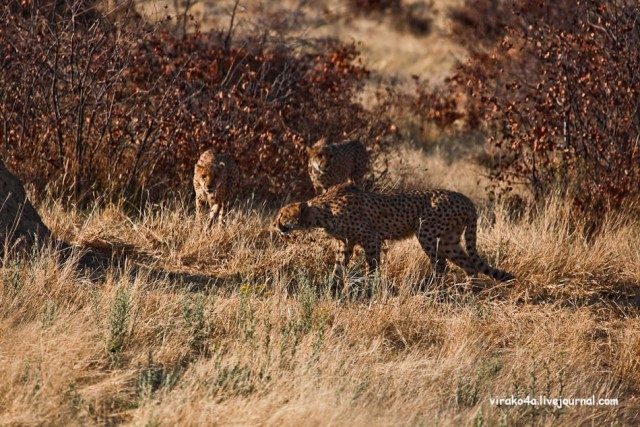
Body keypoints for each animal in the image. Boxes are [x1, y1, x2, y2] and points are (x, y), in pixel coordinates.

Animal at [272, 183, 512, 290]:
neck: (322, 212)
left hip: (427, 233)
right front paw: (332, 288)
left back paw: (427, 287)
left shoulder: (371, 238)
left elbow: (372, 265)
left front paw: (369, 286)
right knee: (468, 264)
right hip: (448, 239)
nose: (275, 225)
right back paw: (469, 290)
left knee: (441, 264)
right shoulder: (345, 243)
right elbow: (338, 268)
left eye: (282, 214)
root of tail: (466, 199)